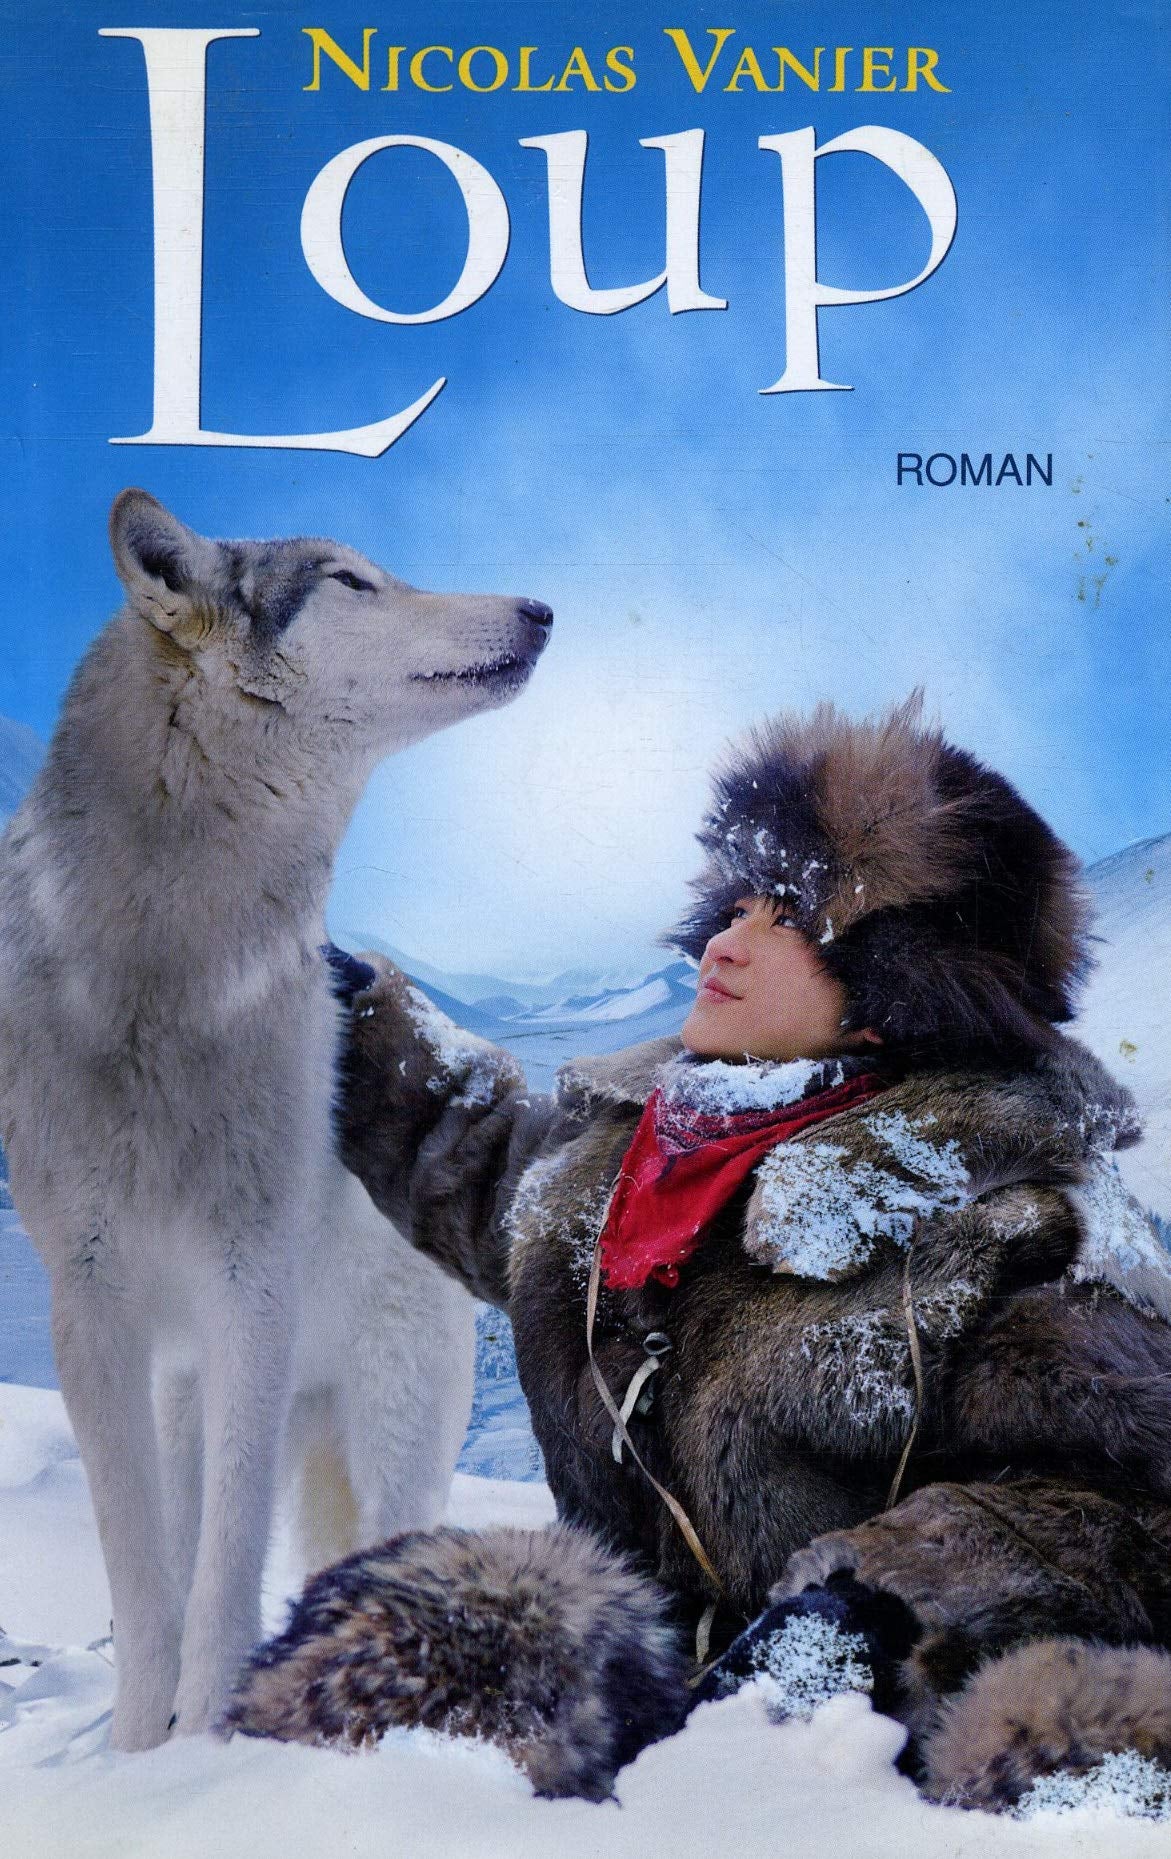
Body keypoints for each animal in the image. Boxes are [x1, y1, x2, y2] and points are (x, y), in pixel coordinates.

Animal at [0, 489, 552, 1750]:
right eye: (350, 580)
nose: (542, 608)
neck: (162, 983)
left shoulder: (249, 1285)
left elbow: (223, 1571)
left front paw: (207, 1738)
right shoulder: (92, 1305)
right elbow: (142, 1571)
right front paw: (137, 1747)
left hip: (391, 1429)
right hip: (188, 1397)